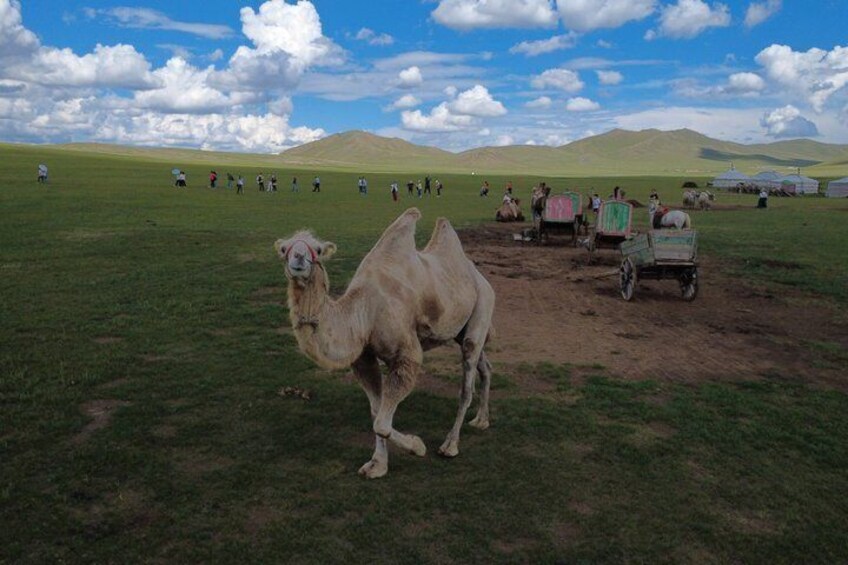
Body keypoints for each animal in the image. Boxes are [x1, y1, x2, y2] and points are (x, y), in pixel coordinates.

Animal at [274, 208, 495, 479]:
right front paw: (378, 465)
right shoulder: (363, 358)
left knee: (467, 383)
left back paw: (450, 445)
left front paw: (417, 446)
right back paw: (481, 420)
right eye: (283, 248)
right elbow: (376, 411)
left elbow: (381, 421)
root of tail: (481, 278)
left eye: (316, 248)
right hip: (462, 329)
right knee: (485, 367)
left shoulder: (406, 354)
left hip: (482, 308)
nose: (298, 257)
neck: (364, 311)